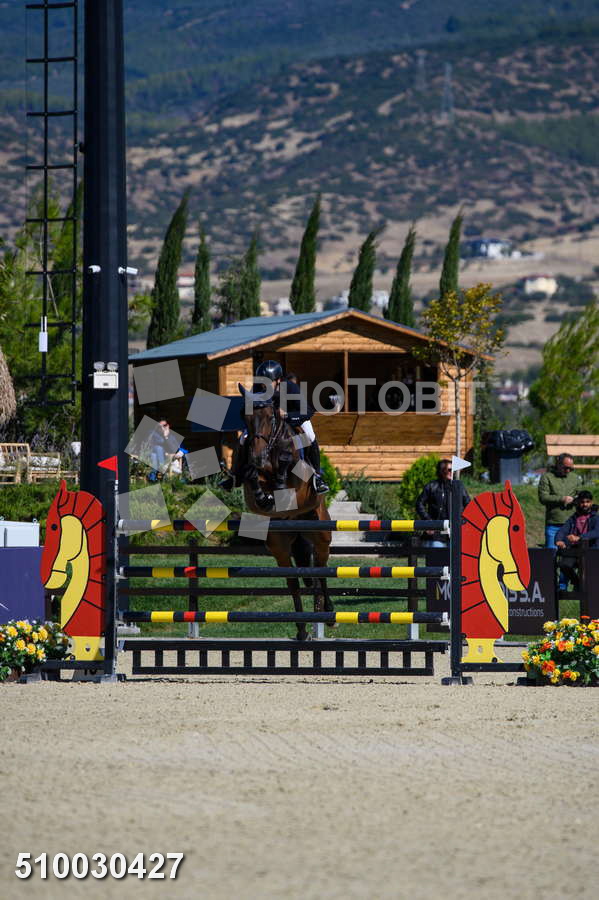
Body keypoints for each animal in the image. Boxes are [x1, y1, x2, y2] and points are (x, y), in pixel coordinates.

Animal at [237, 384, 333, 641]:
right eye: (245, 418)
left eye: (271, 418)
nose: (258, 457)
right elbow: (252, 478)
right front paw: (264, 497)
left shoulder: (297, 483)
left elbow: (285, 467)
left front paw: (278, 483)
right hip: (279, 546)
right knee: (294, 582)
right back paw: (302, 629)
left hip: (321, 535)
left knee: (321, 570)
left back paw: (327, 614)